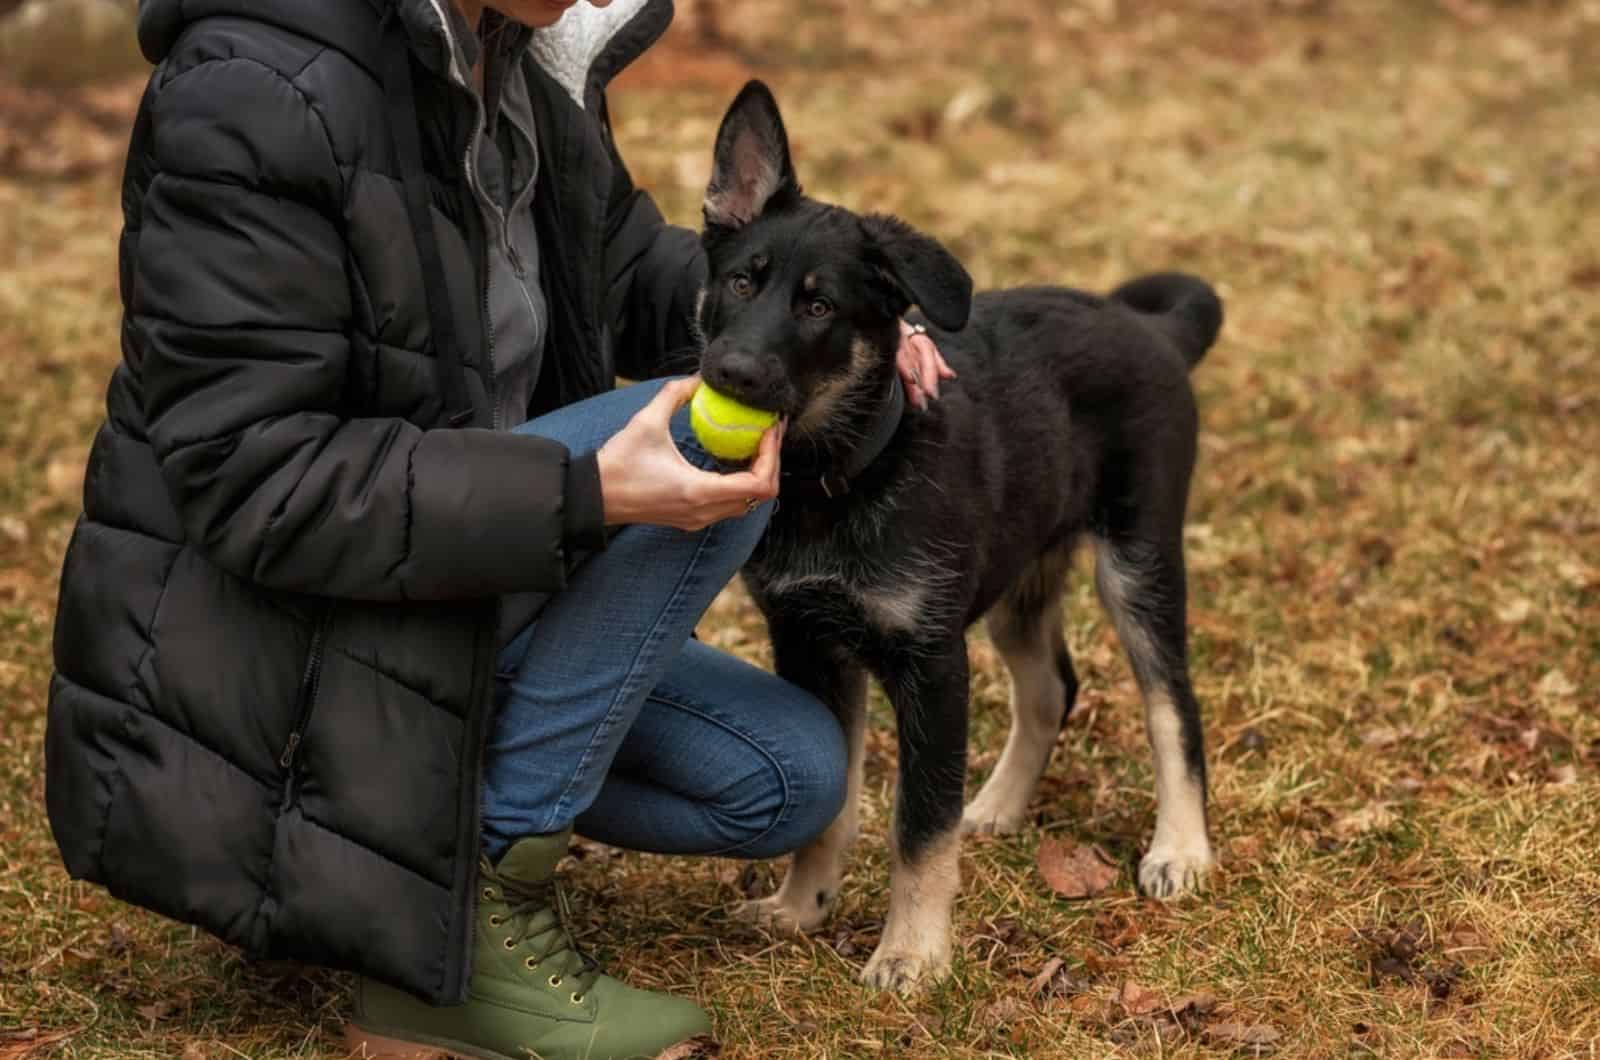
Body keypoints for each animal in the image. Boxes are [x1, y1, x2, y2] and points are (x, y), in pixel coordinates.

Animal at [700, 83, 1222, 999]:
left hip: (1140, 559)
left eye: (819, 306)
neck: (841, 476)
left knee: (1173, 705)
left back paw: (1180, 850)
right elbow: (833, 804)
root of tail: (1149, 329)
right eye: (739, 281)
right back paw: (1002, 805)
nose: (730, 372)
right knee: (1051, 686)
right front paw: (803, 907)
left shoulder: (931, 662)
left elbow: (919, 824)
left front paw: (911, 954)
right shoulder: (807, 640)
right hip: (1021, 575)